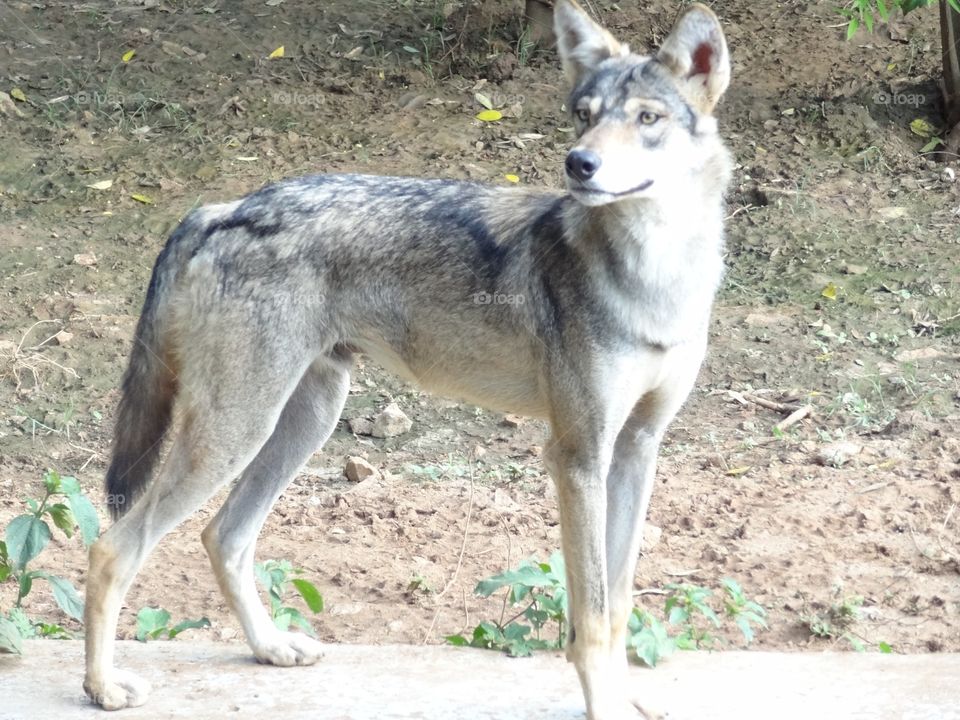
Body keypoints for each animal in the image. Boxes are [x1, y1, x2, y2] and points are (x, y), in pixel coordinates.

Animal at [82, 2, 731, 718]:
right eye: (584, 114)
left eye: (647, 118)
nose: (579, 164)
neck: (658, 279)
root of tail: (224, 208)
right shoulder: (578, 456)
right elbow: (588, 615)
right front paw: (604, 704)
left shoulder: (637, 449)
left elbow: (615, 603)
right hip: (235, 433)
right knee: (113, 548)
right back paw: (103, 687)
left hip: (302, 423)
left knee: (222, 537)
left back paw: (270, 647)